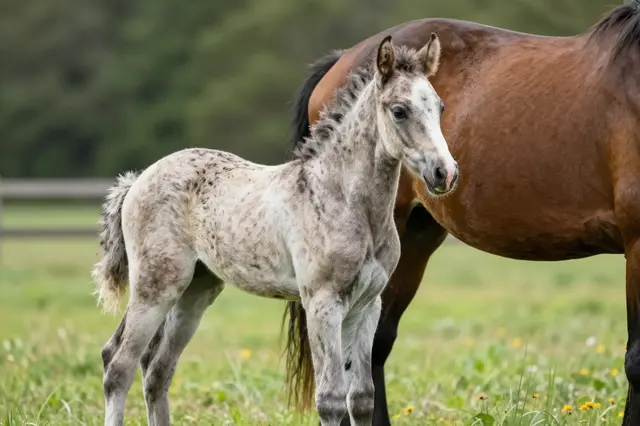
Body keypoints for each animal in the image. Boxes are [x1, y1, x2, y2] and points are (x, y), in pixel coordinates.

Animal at [91, 35, 458, 426]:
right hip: (156, 286)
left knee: (156, 369)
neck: (345, 200)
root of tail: (139, 179)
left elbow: (361, 399)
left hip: (195, 290)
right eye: (399, 110)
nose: (445, 172)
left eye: (440, 107)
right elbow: (330, 399)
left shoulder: (367, 305)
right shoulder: (322, 303)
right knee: (119, 364)